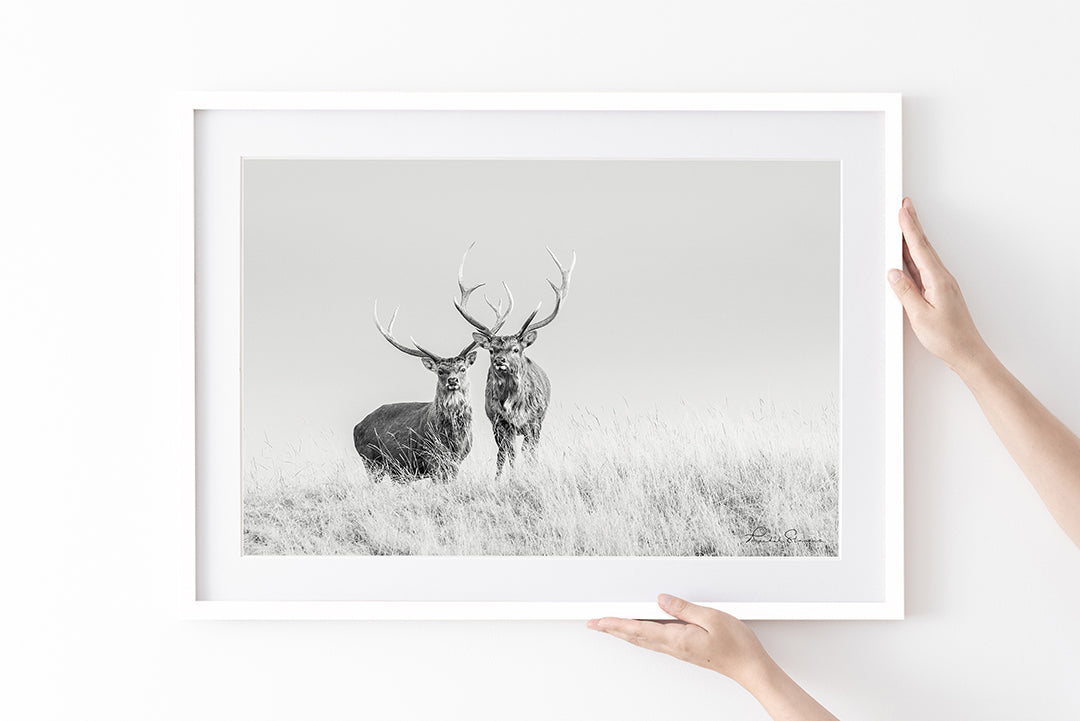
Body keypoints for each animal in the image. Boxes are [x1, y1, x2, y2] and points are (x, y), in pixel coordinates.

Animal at [352, 297, 508, 482]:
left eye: (462, 368)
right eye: (440, 371)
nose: (453, 380)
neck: (453, 438)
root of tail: (356, 427)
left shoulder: (458, 459)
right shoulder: (431, 456)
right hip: (371, 461)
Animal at [454, 246, 575, 477]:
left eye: (516, 349)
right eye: (492, 350)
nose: (500, 360)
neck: (513, 407)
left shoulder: (534, 422)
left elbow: (529, 454)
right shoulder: (498, 422)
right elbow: (508, 455)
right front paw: (508, 478)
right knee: (503, 454)